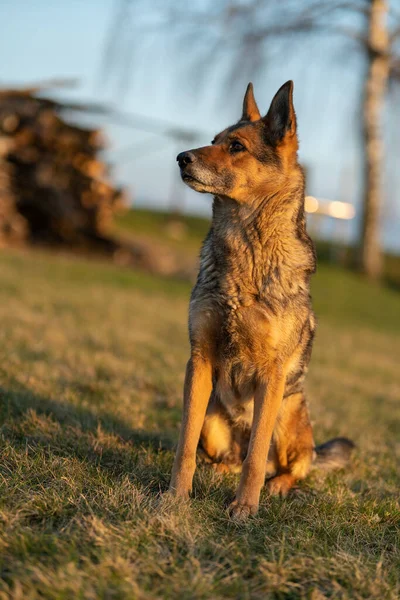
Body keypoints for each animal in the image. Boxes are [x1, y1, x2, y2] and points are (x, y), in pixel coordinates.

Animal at [169, 81, 354, 520]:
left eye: (236, 146)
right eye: (213, 140)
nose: (181, 158)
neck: (246, 251)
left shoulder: (271, 375)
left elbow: (256, 458)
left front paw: (244, 508)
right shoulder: (198, 361)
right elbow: (184, 445)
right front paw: (175, 496)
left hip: (287, 413)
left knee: (287, 465)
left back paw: (278, 485)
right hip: (213, 413)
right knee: (230, 457)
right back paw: (218, 469)